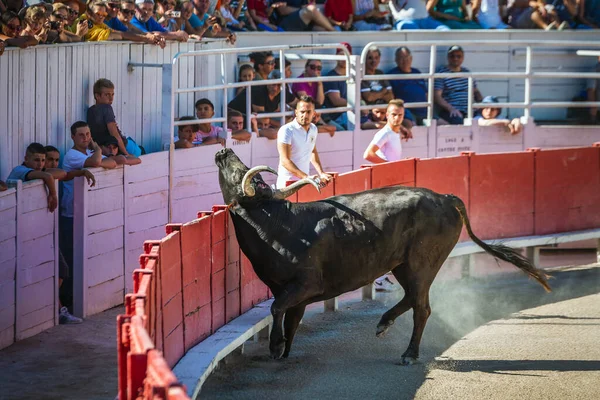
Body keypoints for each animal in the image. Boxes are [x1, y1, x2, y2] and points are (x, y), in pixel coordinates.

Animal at [213, 148, 552, 364]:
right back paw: (384, 323)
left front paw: (274, 347)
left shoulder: (305, 284)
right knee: (413, 299)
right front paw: (283, 349)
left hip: (422, 263)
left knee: (421, 306)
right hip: (403, 265)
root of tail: (445, 197)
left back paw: (408, 353)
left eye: (239, 174)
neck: (279, 222)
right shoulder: (290, 291)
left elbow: (276, 308)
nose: (224, 151)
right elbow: (290, 316)